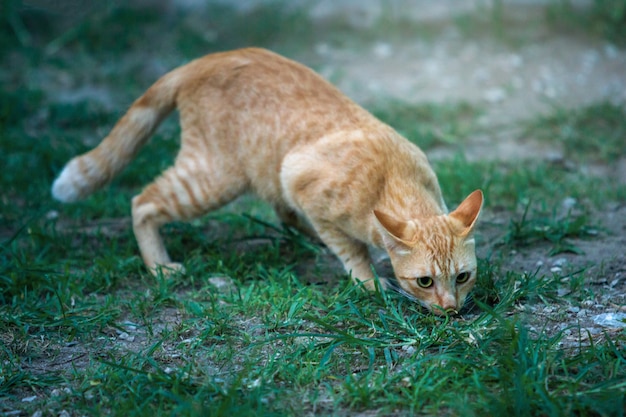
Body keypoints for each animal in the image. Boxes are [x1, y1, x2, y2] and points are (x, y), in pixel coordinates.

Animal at [53, 47, 482, 314]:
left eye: (462, 277)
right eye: (424, 281)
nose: (451, 310)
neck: (392, 178)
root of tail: (203, 60)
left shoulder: (294, 181)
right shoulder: (303, 184)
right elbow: (351, 251)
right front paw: (368, 283)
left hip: (262, 170)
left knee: (284, 213)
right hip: (213, 177)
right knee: (142, 201)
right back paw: (159, 265)